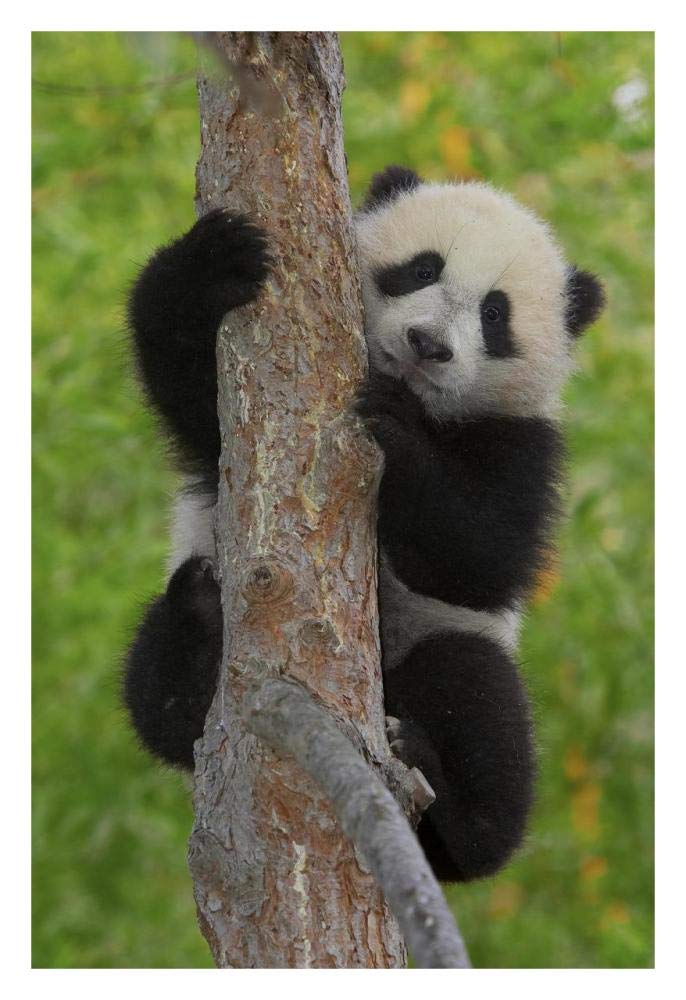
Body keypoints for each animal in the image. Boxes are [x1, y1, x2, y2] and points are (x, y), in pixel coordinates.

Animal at [124, 165, 604, 883]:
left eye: (495, 314)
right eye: (421, 269)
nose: (428, 346)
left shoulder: (525, 442)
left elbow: (483, 555)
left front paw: (395, 429)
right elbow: (195, 398)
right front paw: (214, 263)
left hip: (442, 660)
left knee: (476, 695)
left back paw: (448, 801)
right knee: (155, 689)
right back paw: (199, 626)